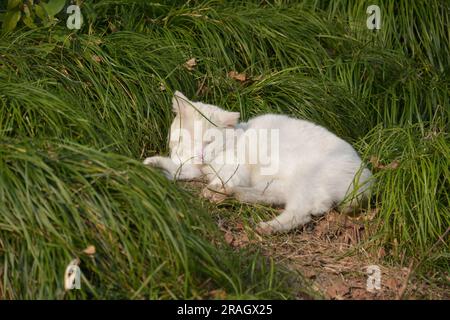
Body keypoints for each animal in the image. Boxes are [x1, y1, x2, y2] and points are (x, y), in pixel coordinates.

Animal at [144, 91, 372, 234]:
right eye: (191, 138)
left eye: (210, 141)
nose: (200, 154)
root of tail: (367, 178)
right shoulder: (194, 168)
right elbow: (179, 167)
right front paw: (151, 164)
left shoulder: (235, 168)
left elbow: (223, 178)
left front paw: (214, 189)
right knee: (275, 197)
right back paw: (237, 195)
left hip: (307, 181)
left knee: (305, 211)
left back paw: (267, 226)